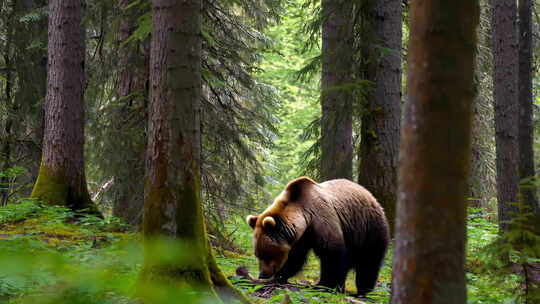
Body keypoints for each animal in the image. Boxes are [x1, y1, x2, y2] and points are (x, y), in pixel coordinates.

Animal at [247, 176, 390, 294]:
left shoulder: (321, 221)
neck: (304, 218)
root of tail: (371, 195)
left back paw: (364, 290)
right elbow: (295, 258)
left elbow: (332, 255)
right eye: (257, 254)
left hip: (369, 229)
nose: (261, 274)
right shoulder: (301, 238)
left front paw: (325, 285)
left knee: (369, 262)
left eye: (266, 254)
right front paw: (281, 276)